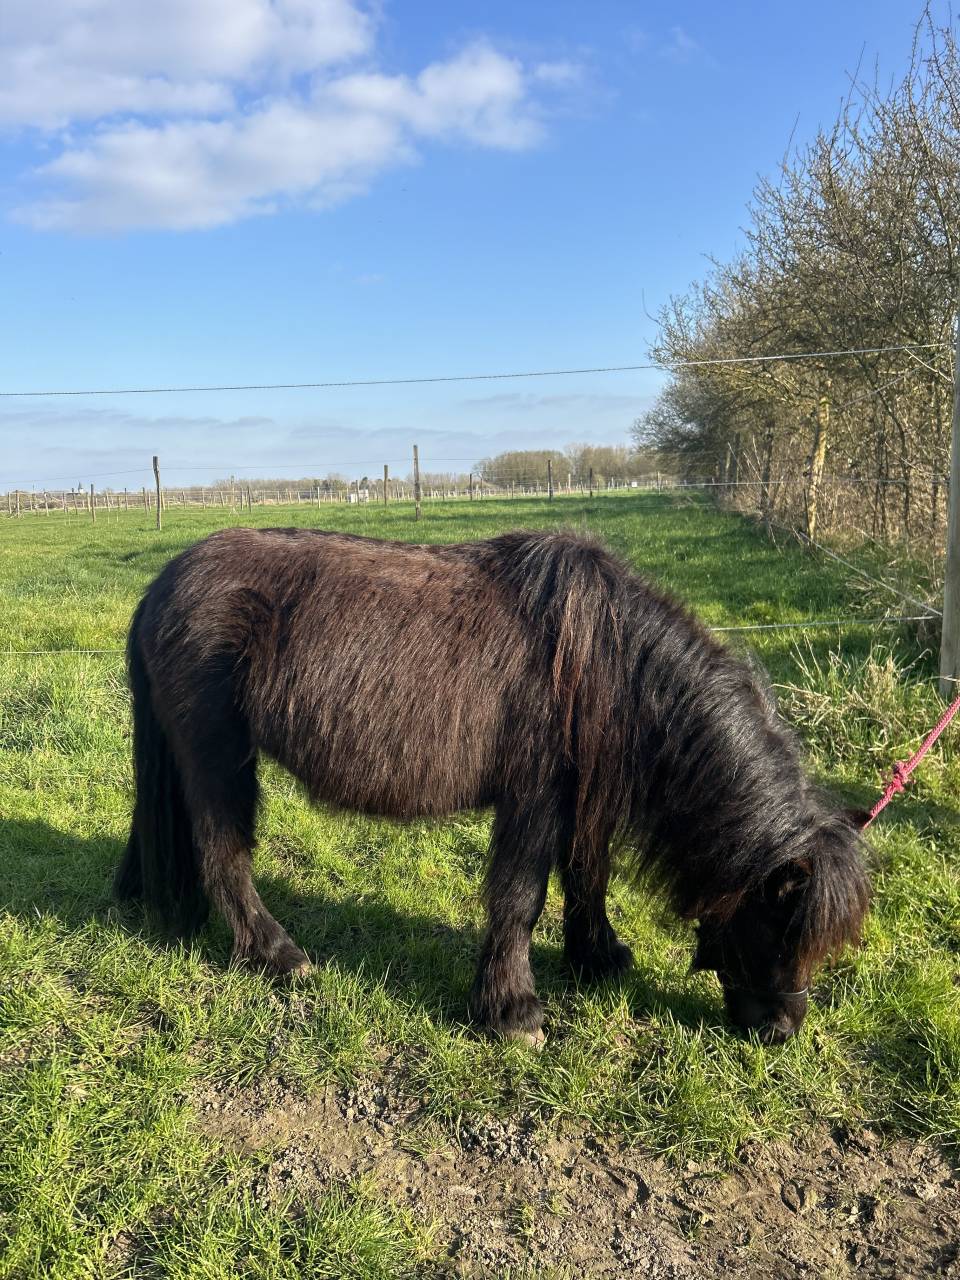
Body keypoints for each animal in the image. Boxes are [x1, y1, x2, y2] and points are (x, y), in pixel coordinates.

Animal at [115, 526, 869, 1045]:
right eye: (780, 923)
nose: (780, 1031)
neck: (609, 661)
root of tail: (162, 584)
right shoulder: (534, 800)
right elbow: (520, 899)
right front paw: (514, 1012)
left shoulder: (580, 801)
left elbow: (587, 876)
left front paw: (598, 957)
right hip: (220, 758)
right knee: (224, 852)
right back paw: (278, 955)